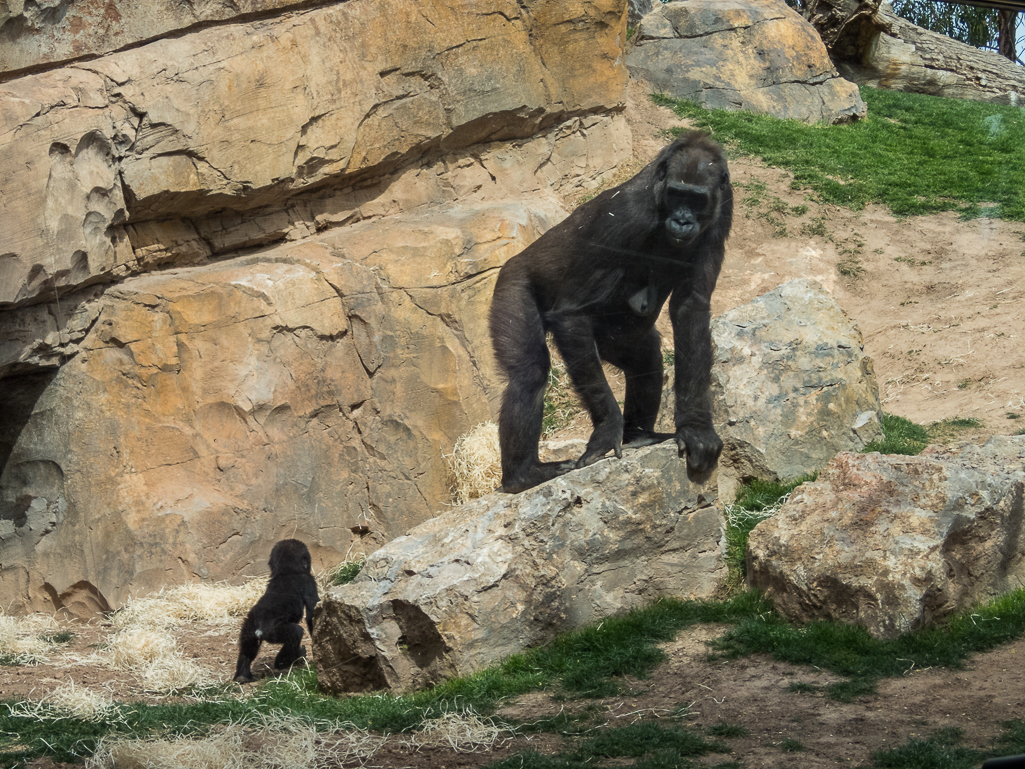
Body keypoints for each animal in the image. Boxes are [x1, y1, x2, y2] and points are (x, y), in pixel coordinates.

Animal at [234, 537, 317, 684]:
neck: (287, 571)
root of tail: (259, 629)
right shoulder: (308, 581)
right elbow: (311, 615)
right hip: (273, 631)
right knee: (295, 632)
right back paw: (284, 662)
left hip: (248, 626)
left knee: (247, 648)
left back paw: (242, 675)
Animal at [485, 132, 729, 494]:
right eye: (677, 194)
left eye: (696, 200)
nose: (683, 220)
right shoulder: (624, 214)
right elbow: (570, 311)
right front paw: (607, 430)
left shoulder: (723, 207)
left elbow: (691, 309)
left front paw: (696, 427)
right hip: (512, 283)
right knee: (529, 372)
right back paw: (523, 475)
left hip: (615, 338)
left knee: (645, 359)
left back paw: (640, 436)